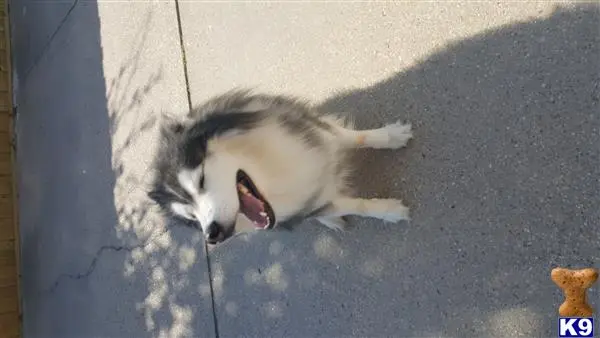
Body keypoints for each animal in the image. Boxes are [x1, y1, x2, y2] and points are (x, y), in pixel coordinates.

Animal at [148, 90, 414, 243]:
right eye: (192, 216)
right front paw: (389, 211)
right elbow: (355, 206)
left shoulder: (313, 131)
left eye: (201, 180)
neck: (273, 172)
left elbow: (355, 138)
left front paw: (390, 136)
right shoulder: (310, 209)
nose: (212, 236)